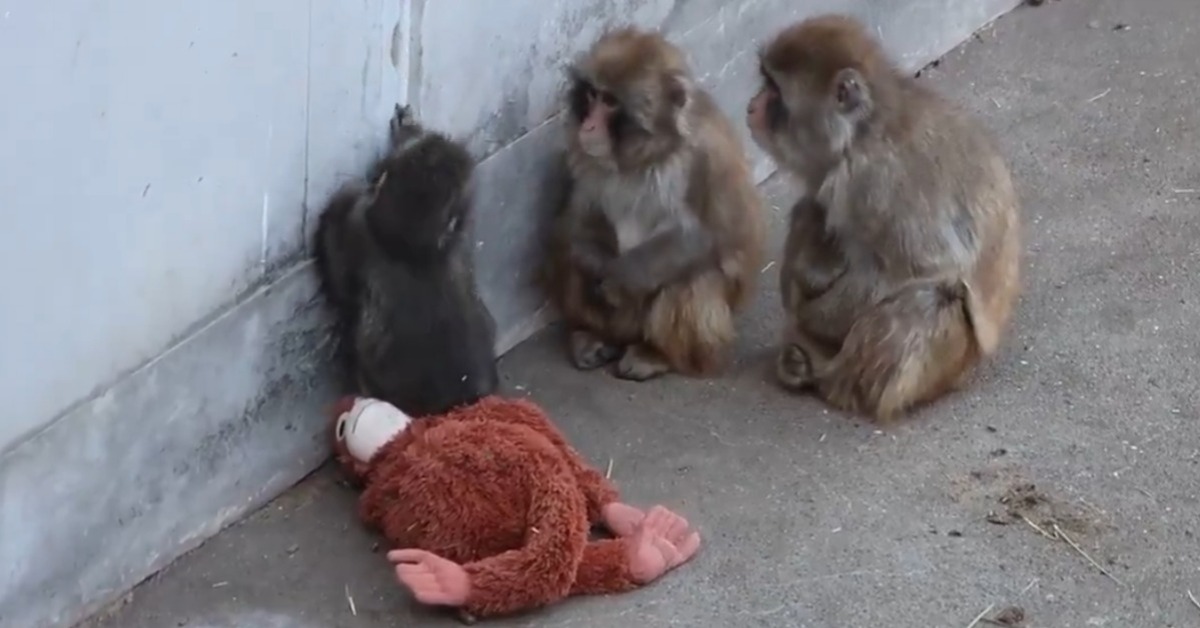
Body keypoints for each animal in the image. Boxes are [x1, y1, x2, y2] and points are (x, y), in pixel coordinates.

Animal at [546, 27, 767, 381]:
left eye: (611, 102)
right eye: (593, 95)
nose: (588, 126)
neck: (647, 153)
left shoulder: (705, 156)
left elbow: (706, 236)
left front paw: (619, 278)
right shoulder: (583, 158)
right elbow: (576, 224)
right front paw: (595, 264)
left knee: (691, 276)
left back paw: (656, 354)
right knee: (569, 253)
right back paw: (591, 335)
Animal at [746, 14, 1022, 421]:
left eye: (775, 92)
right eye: (764, 82)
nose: (752, 106)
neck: (861, 134)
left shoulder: (872, 182)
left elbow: (922, 269)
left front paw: (810, 318)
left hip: (947, 364)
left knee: (925, 302)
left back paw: (831, 381)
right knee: (810, 210)